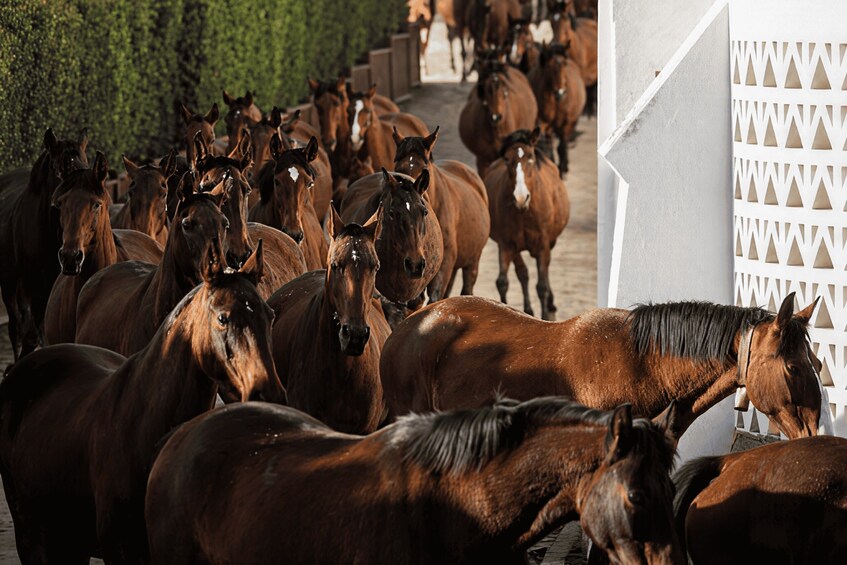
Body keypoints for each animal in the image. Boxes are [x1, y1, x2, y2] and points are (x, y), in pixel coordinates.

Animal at [0, 128, 89, 359]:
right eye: (59, 172)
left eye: (86, 170)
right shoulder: (29, 290)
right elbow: (30, 333)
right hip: (9, 284)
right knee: (16, 328)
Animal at [0, 246, 284, 564]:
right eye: (222, 318)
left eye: (270, 315)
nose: (268, 392)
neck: (144, 424)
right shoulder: (120, 549)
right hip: (32, 537)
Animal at [483, 128, 569, 319]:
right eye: (507, 159)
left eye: (530, 158)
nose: (521, 197)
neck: (524, 212)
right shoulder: (506, 245)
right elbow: (504, 281)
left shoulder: (543, 245)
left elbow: (542, 286)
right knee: (522, 274)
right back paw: (528, 310)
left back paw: (550, 303)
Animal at [527, 42, 586, 174]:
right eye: (549, 66)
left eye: (564, 64)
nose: (560, 92)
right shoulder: (544, 123)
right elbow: (549, 146)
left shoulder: (566, 123)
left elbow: (562, 146)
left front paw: (563, 168)